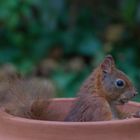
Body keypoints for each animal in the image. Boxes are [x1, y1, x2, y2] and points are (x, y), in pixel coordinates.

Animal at [0, 55, 138, 121]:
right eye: (120, 83)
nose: (135, 93)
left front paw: (132, 114)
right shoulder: (97, 108)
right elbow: (108, 120)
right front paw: (130, 116)